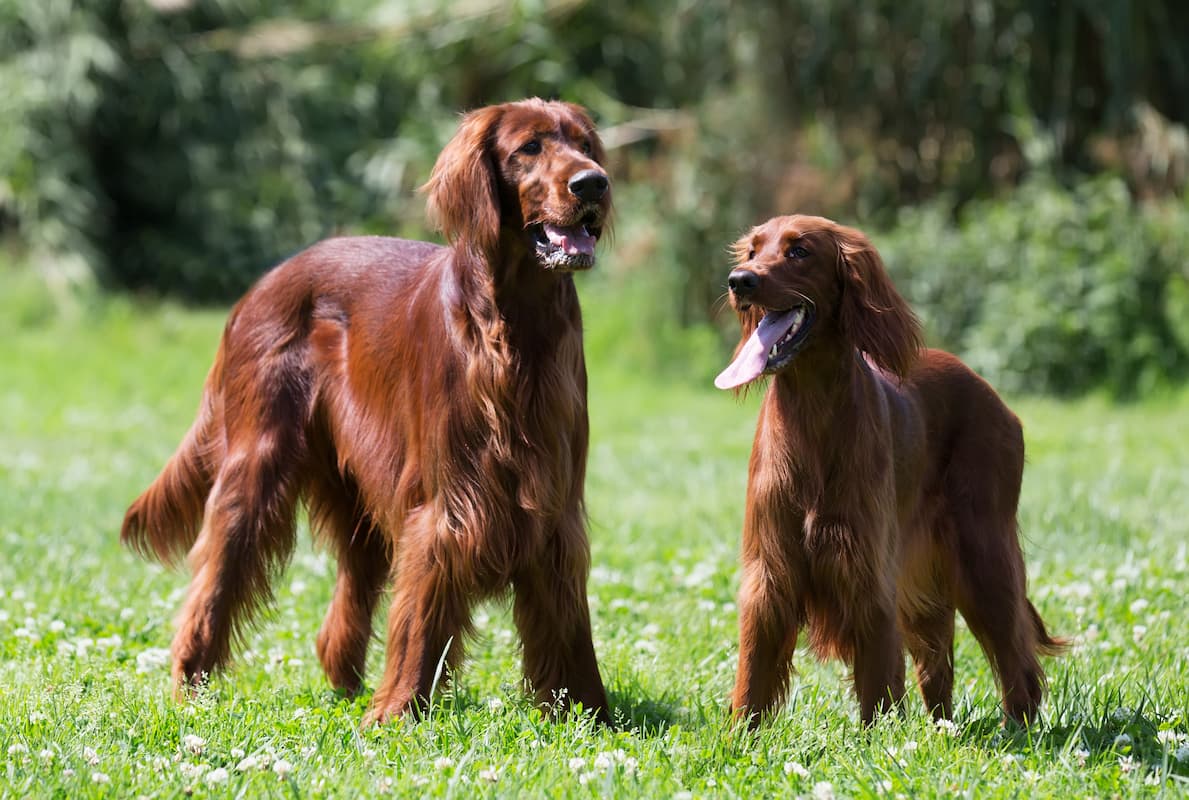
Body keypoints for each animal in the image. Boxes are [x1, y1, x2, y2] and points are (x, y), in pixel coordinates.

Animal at [123, 99, 613, 722]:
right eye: (529, 147)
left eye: (587, 146)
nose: (593, 183)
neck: (517, 329)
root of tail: (256, 290)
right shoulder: (446, 503)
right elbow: (422, 610)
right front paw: (399, 710)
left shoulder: (554, 507)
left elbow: (567, 618)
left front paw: (591, 712)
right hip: (256, 467)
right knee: (214, 578)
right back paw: (191, 685)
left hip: (352, 491)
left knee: (350, 588)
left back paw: (346, 681)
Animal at [708, 215, 1065, 727]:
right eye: (753, 250)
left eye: (799, 251)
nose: (741, 281)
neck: (811, 415)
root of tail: (993, 395)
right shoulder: (770, 572)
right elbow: (753, 673)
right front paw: (742, 736)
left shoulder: (867, 571)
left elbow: (878, 678)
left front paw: (877, 738)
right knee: (938, 663)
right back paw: (942, 729)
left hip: (983, 553)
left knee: (1017, 658)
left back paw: (1017, 729)